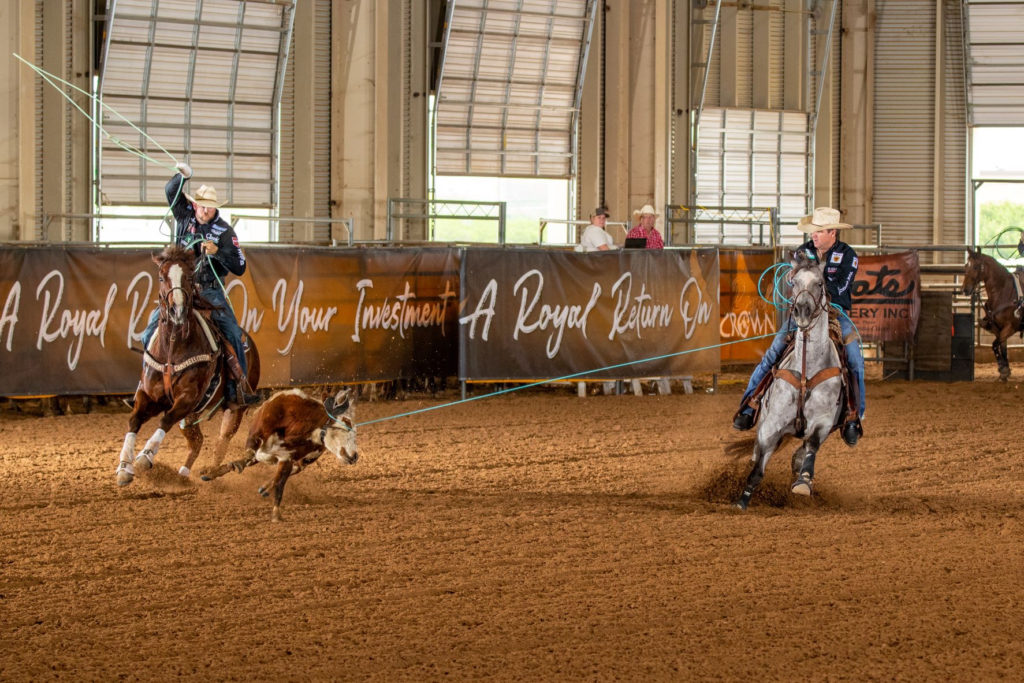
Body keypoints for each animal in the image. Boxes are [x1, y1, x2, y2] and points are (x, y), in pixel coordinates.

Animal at [115, 245, 260, 485]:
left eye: (190, 277)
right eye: (161, 277)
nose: (178, 311)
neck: (173, 348)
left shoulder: (187, 398)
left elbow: (165, 420)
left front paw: (145, 457)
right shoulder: (150, 396)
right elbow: (134, 421)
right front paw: (125, 467)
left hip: (234, 408)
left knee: (222, 441)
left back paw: (212, 473)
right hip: (191, 417)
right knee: (197, 441)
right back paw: (182, 476)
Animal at [737, 249, 847, 507]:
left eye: (820, 283)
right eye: (793, 282)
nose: (802, 311)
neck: (807, 370)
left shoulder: (823, 422)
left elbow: (811, 448)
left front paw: (803, 482)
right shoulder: (772, 424)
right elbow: (758, 468)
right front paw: (742, 501)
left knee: (804, 449)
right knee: (758, 449)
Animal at [958, 249, 1024, 382]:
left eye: (976, 266)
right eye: (966, 266)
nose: (964, 290)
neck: (1003, 291)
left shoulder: (1011, 327)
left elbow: (994, 345)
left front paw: (1003, 370)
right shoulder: (998, 328)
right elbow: (1002, 348)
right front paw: (1005, 370)